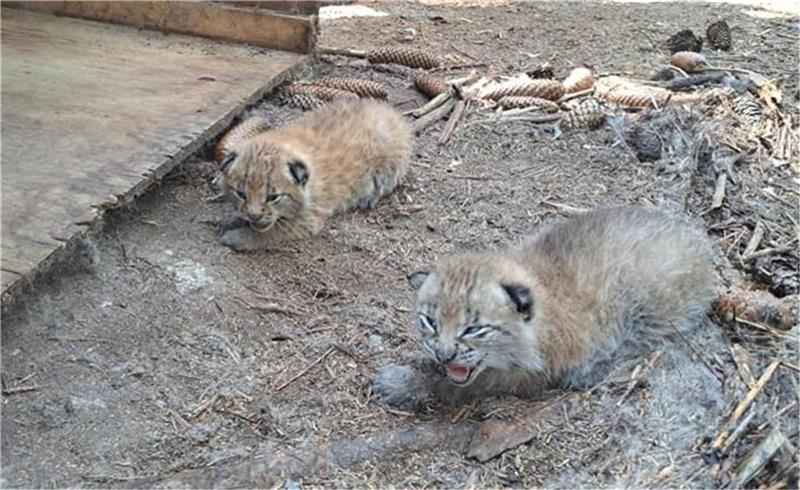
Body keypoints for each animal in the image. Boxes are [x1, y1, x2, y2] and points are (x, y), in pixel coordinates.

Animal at [219, 98, 412, 251]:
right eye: (241, 194)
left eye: (273, 197)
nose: (254, 216)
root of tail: (390, 111)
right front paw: (233, 218)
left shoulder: (309, 217)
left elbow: (274, 230)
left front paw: (240, 237)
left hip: (389, 157)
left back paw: (369, 197)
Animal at [372, 205, 716, 408]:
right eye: (429, 322)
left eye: (474, 329)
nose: (444, 354)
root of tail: (698, 239)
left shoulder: (528, 373)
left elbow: (461, 385)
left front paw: (400, 383)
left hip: (646, 306)